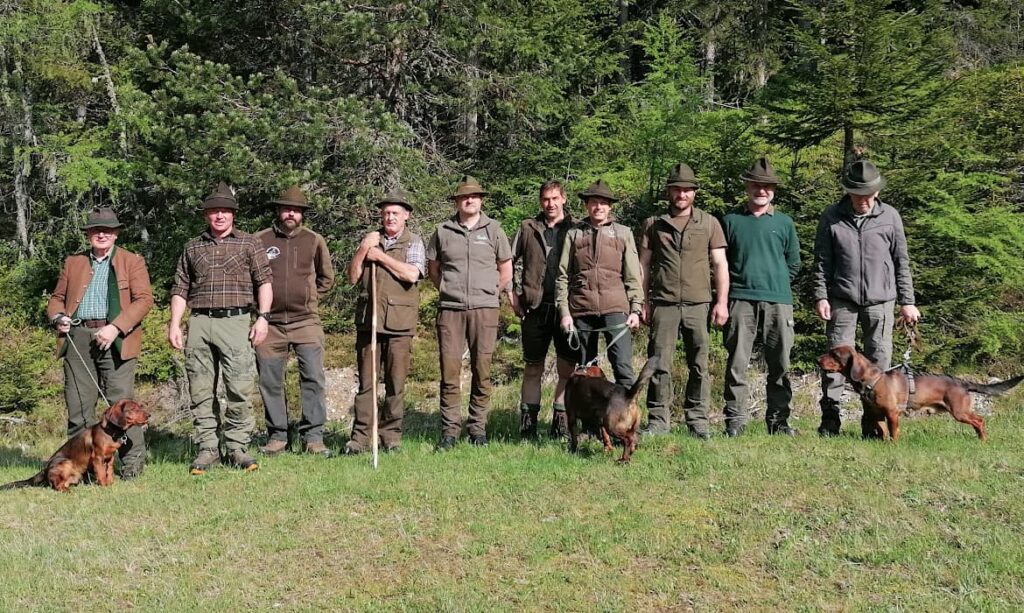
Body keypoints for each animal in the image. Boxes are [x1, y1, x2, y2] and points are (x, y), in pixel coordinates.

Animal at [0, 399, 150, 493]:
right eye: (133, 408)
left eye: (140, 406)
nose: (149, 415)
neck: (111, 432)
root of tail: (45, 469)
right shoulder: (98, 458)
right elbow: (102, 474)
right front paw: (105, 487)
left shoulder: (110, 458)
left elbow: (109, 473)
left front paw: (111, 484)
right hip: (65, 462)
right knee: (56, 485)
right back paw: (67, 490)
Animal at [819, 345, 1019, 442]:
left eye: (835, 355)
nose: (818, 359)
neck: (872, 380)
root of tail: (962, 382)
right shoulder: (876, 414)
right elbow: (882, 430)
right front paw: (883, 443)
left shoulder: (892, 413)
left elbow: (893, 432)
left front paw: (893, 445)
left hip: (959, 411)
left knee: (980, 421)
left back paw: (983, 439)